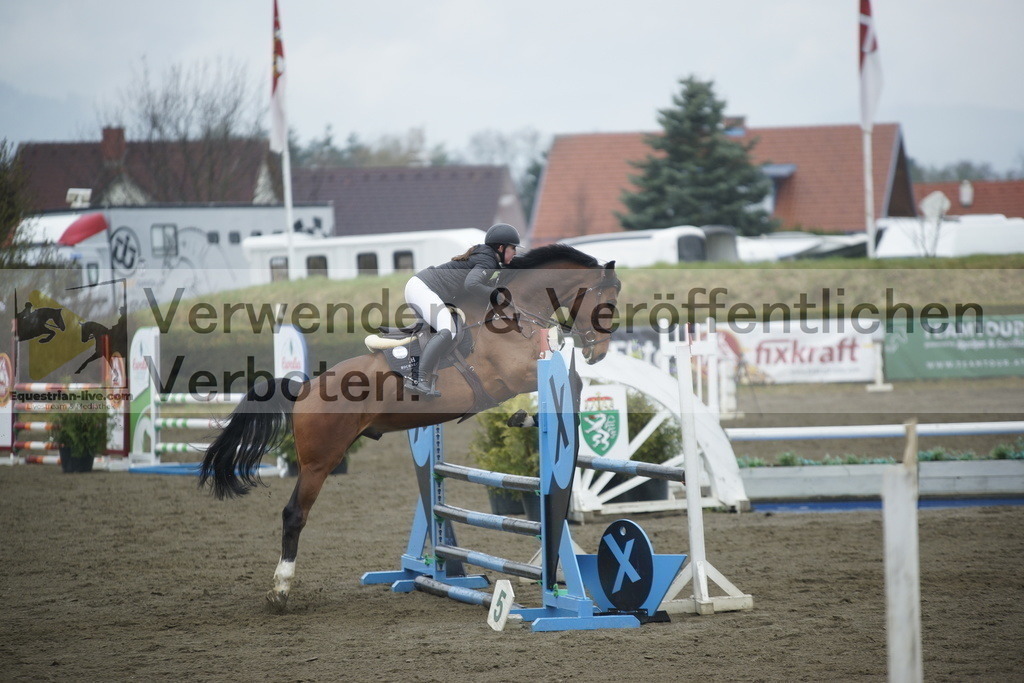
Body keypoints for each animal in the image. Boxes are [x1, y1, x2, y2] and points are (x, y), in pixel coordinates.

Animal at [198, 245, 614, 610]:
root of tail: (305, 389)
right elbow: (572, 385)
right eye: (607, 301)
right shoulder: (514, 376)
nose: (599, 353)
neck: (511, 318)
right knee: (294, 515)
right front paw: (533, 417)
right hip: (319, 461)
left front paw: (523, 418)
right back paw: (280, 592)